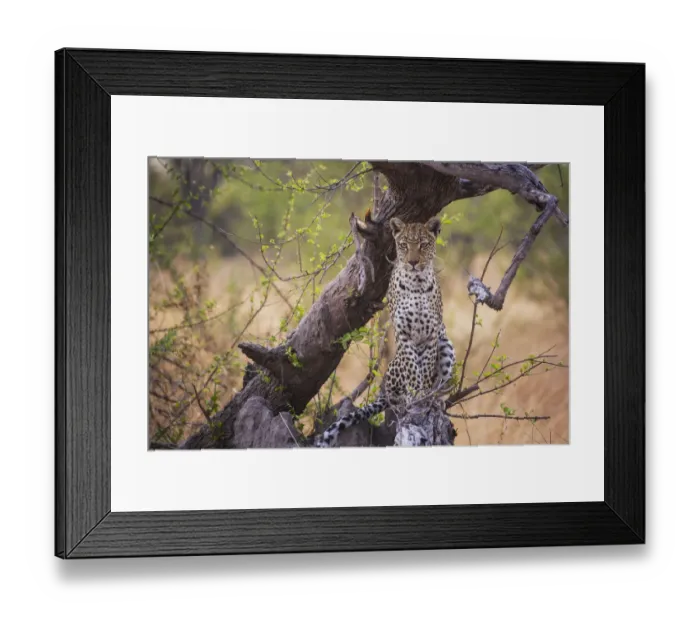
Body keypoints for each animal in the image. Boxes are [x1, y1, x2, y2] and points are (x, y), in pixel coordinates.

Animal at [315, 216, 456, 448]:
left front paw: (424, 396)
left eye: (423, 244)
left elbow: (426, 369)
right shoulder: (403, 334)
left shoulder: (432, 335)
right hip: (394, 372)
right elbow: (413, 369)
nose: (413, 262)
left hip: (446, 345)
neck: (417, 284)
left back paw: (436, 401)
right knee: (395, 395)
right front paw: (415, 396)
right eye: (404, 245)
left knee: (438, 380)